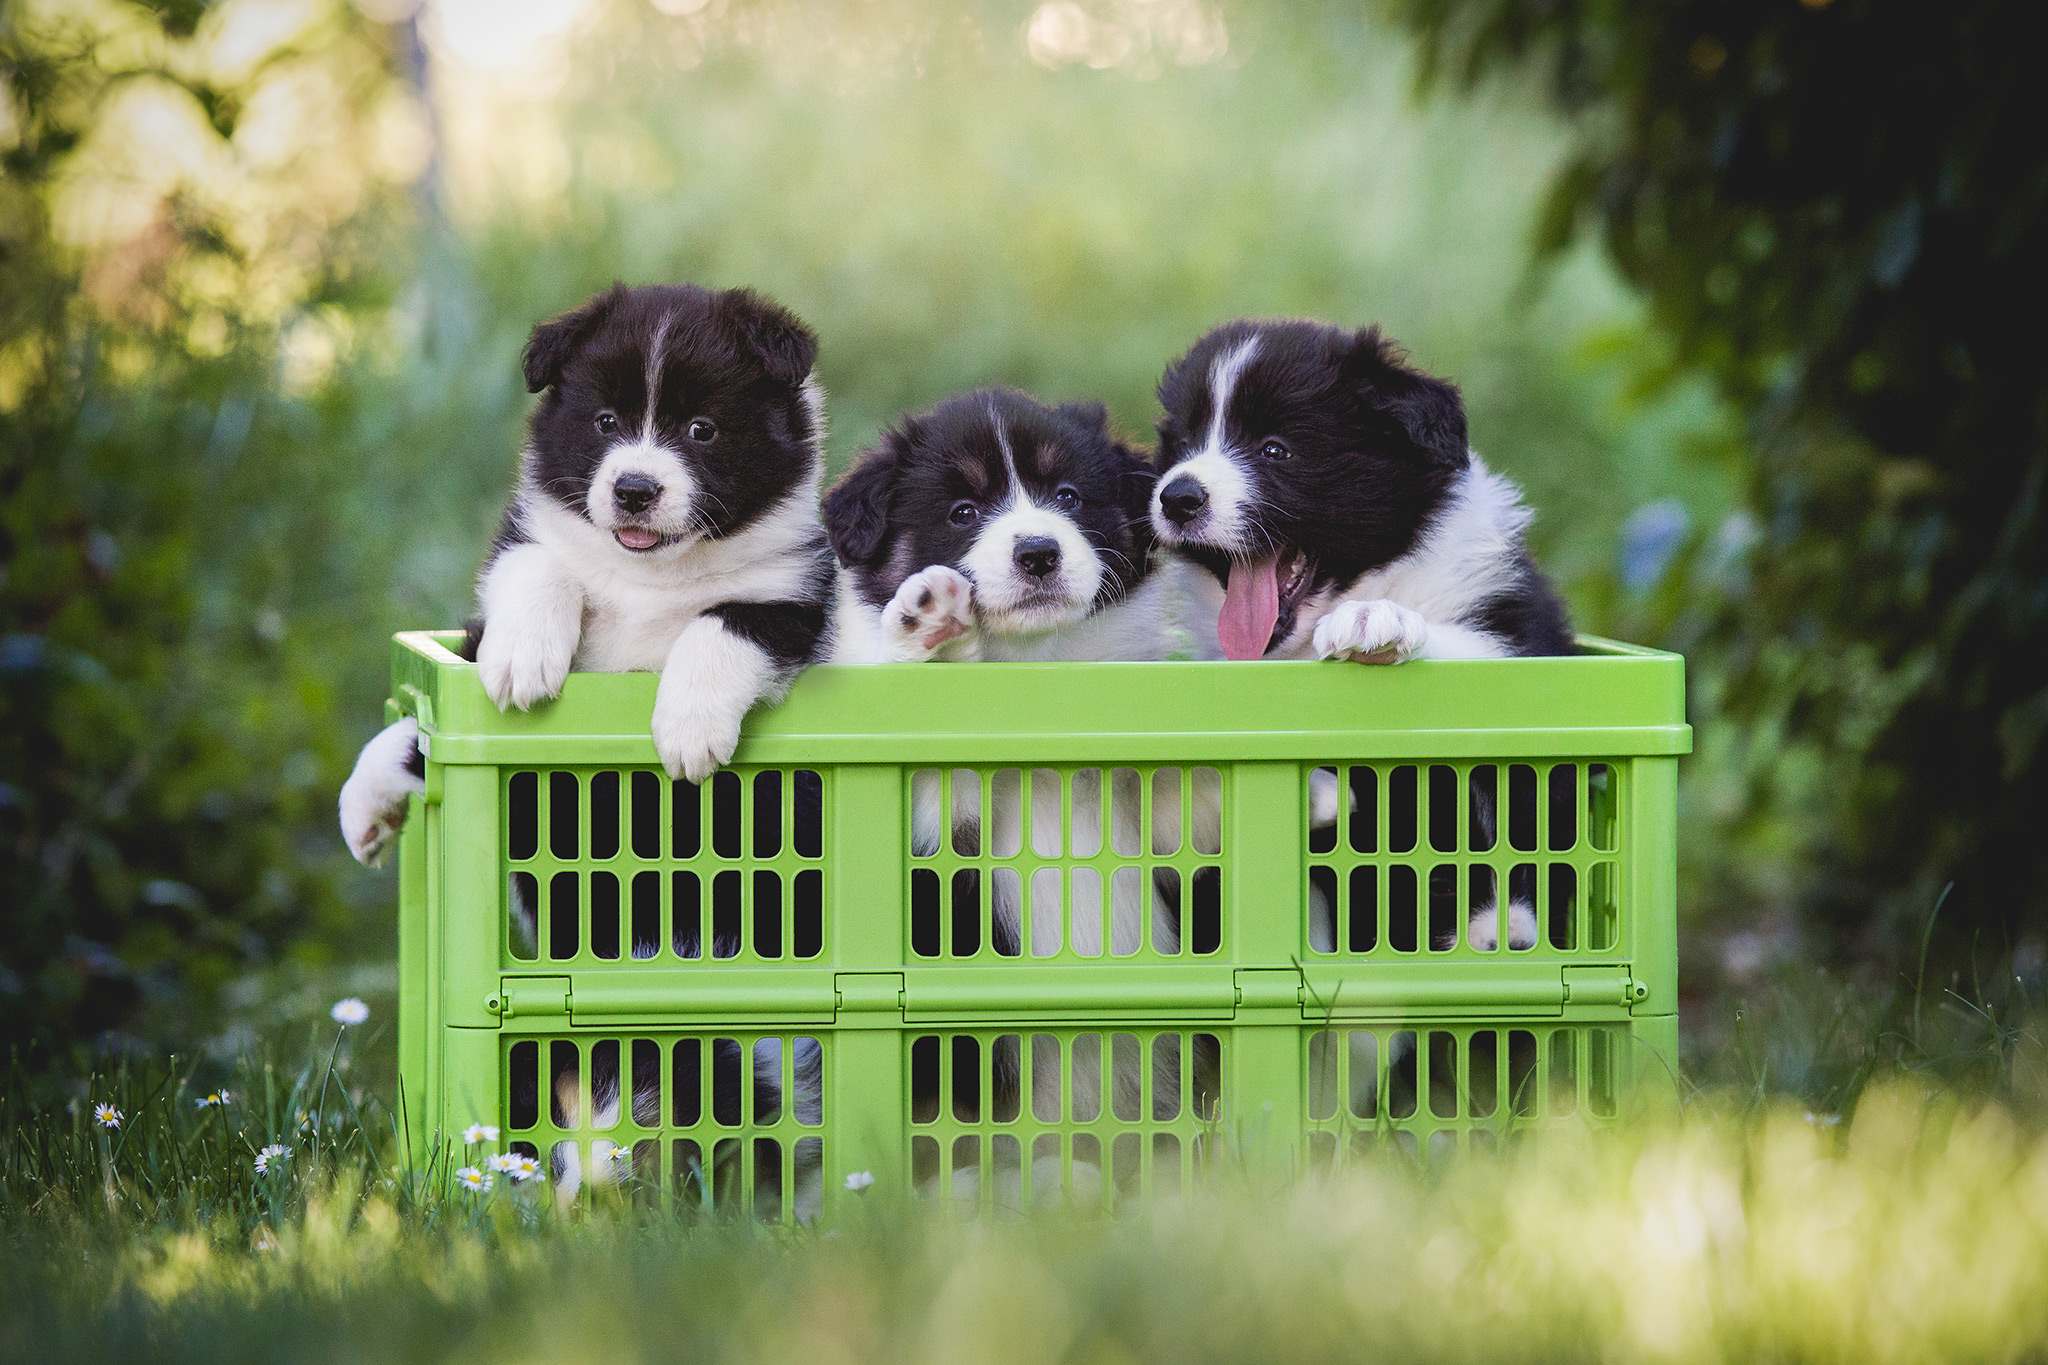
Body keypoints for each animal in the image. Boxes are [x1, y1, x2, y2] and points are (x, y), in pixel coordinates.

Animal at [335, 282, 831, 871]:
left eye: (702, 429)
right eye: (606, 421)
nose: (634, 490)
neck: (651, 574)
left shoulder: (792, 595)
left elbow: (723, 623)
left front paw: (689, 729)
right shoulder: (528, 539)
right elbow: (539, 565)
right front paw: (521, 661)